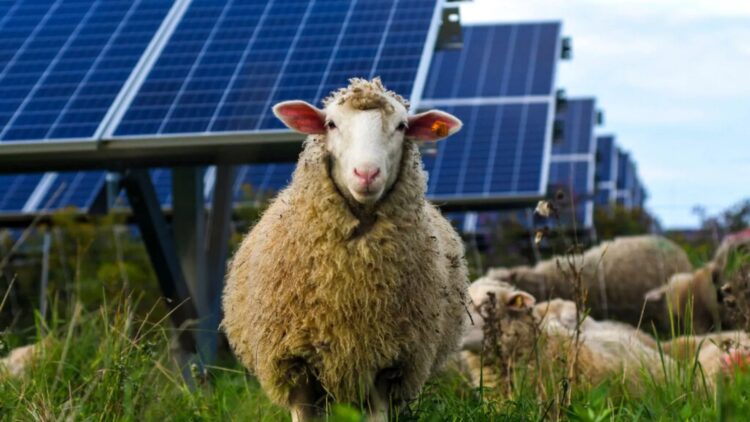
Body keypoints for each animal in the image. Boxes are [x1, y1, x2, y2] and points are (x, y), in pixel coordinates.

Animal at [222, 78, 468, 421]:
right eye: (331, 124)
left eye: (402, 126)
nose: (366, 174)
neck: (348, 286)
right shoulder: (295, 366)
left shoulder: (387, 365)